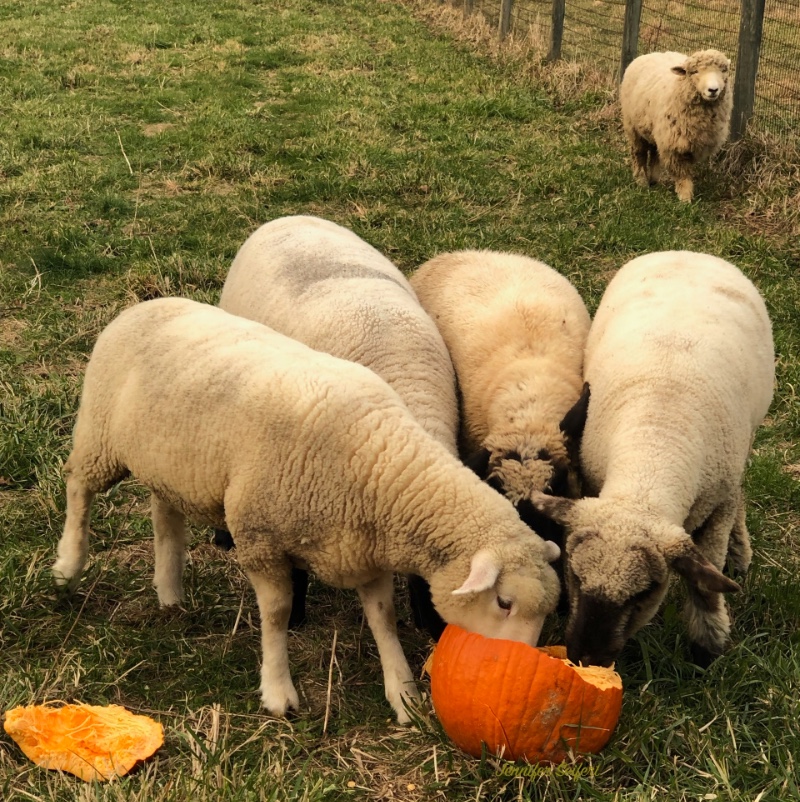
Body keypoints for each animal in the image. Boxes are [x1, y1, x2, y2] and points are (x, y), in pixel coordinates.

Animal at [54, 296, 564, 720]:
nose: (524, 673)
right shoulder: (259, 537)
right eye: (503, 602)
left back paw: (169, 591)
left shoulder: (361, 550)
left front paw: (403, 696)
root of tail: (143, 306)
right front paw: (279, 692)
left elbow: (383, 619)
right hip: (100, 435)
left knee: (164, 514)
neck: (380, 465)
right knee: (78, 486)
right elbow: (278, 613)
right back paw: (67, 566)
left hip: (172, 465)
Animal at [532, 250, 776, 668]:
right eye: (575, 575)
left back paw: (739, 553)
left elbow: (706, 586)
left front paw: (707, 647)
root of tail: (688, 253)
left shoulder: (716, 509)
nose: (586, 658)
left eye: (645, 592)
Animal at [620, 48, 736, 202]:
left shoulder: (688, 143)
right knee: (639, 153)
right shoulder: (675, 144)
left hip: (656, 130)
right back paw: (641, 180)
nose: (713, 90)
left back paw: (653, 179)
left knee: (655, 152)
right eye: (694, 72)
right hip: (633, 126)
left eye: (723, 70)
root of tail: (652, 53)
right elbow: (682, 173)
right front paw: (685, 198)